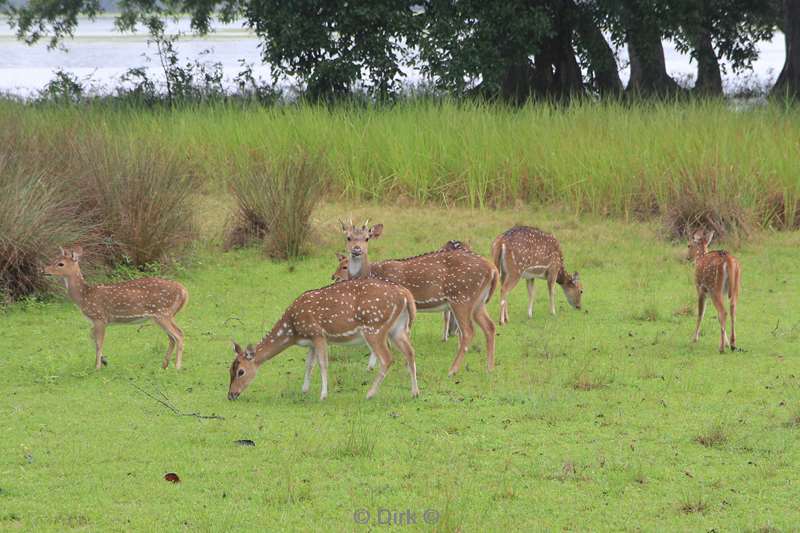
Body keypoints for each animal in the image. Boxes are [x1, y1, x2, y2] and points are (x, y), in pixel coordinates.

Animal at [43, 246, 189, 368]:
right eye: (54, 259)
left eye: (60, 264)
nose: (44, 270)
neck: (84, 296)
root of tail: (184, 291)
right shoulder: (95, 321)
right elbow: (91, 337)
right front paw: (103, 361)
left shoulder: (100, 317)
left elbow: (99, 343)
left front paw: (97, 367)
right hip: (164, 315)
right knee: (172, 337)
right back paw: (164, 365)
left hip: (162, 313)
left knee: (179, 334)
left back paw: (177, 367)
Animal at [227, 278, 418, 400]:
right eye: (229, 370)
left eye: (241, 371)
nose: (231, 394)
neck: (293, 330)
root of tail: (405, 294)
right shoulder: (310, 341)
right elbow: (309, 364)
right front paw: (304, 390)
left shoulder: (318, 334)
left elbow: (322, 363)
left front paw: (323, 395)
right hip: (398, 329)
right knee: (410, 352)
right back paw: (415, 392)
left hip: (374, 327)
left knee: (387, 358)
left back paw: (370, 394)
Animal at [334, 218, 496, 376]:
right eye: (348, 237)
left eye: (367, 238)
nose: (356, 249)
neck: (371, 272)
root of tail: (492, 268)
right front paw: (371, 367)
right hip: (479, 301)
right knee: (490, 326)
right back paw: (488, 368)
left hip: (462, 297)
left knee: (468, 331)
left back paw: (452, 370)